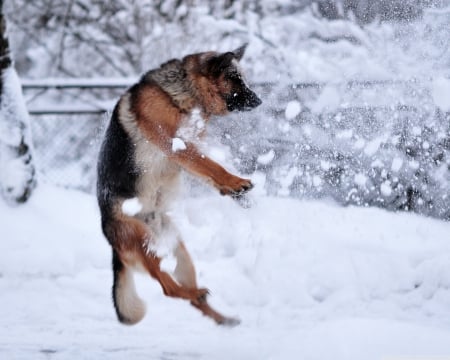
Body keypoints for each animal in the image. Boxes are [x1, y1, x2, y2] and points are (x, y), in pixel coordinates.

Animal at [96, 44, 262, 326]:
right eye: (235, 78)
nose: (259, 101)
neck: (185, 94)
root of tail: (109, 240)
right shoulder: (178, 147)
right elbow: (211, 166)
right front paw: (236, 182)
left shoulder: (185, 154)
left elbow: (207, 171)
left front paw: (234, 193)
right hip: (144, 243)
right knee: (168, 288)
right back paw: (195, 294)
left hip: (180, 252)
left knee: (188, 295)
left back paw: (221, 318)